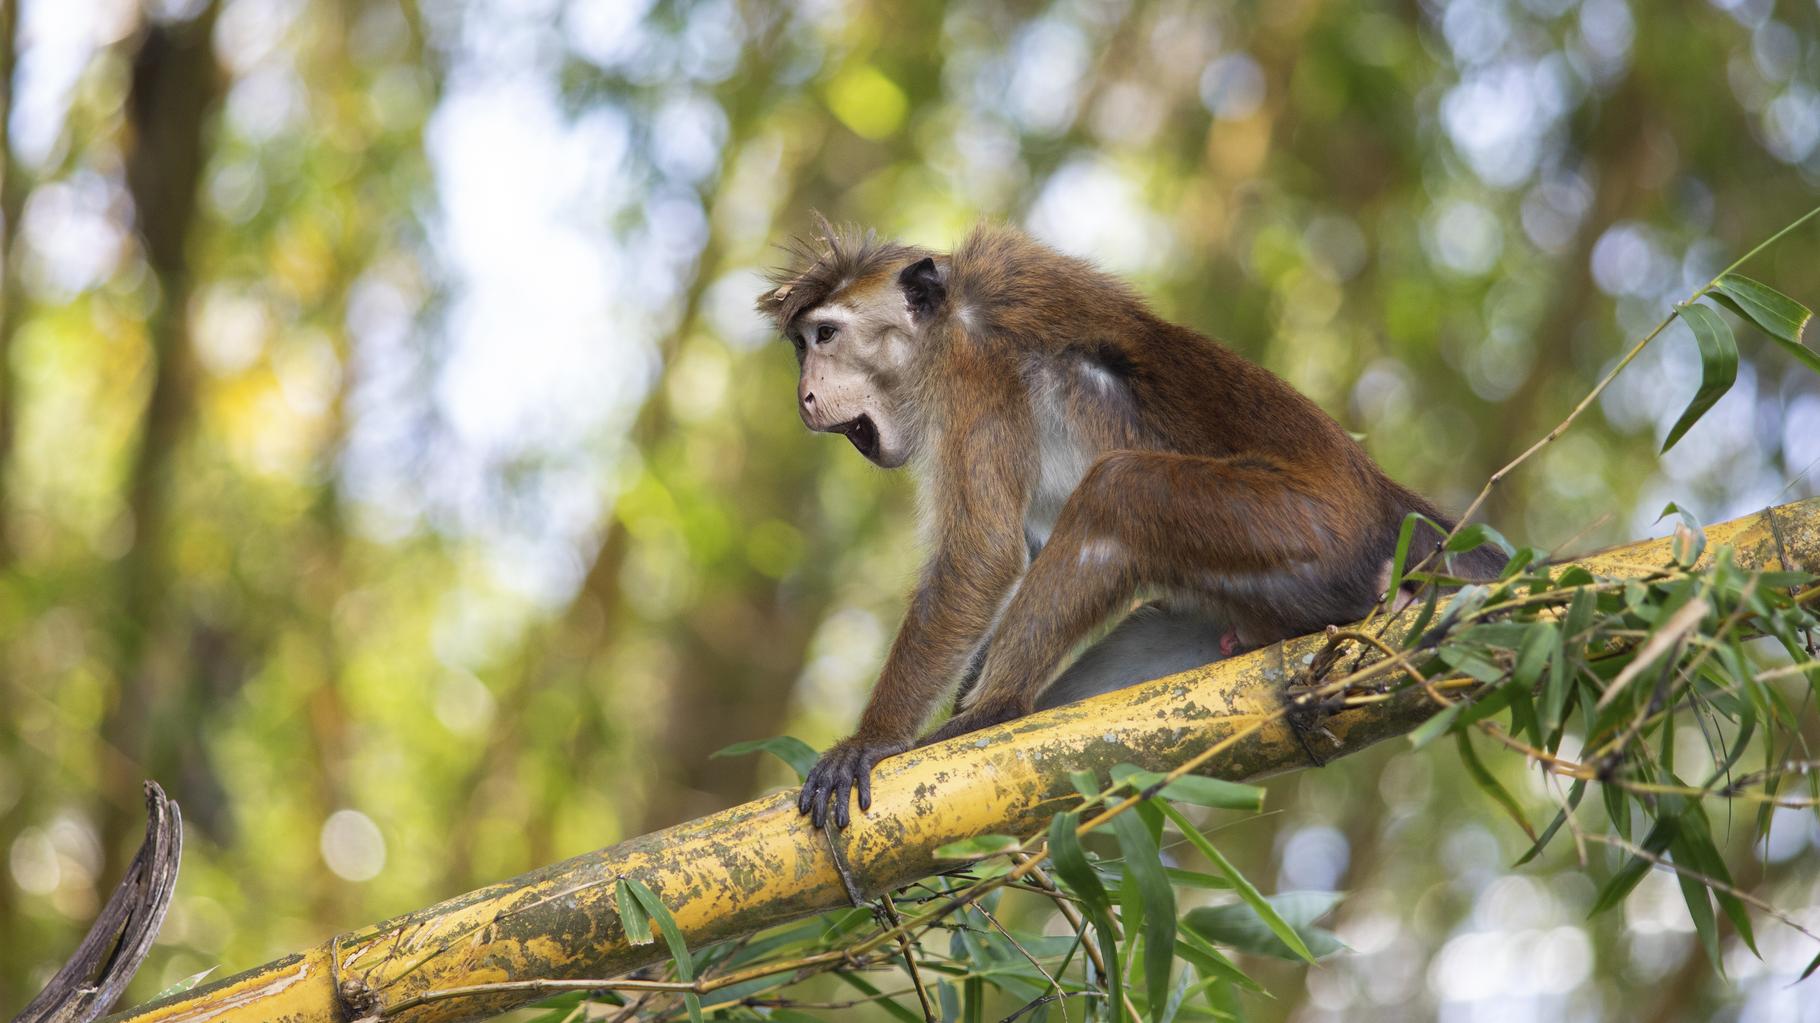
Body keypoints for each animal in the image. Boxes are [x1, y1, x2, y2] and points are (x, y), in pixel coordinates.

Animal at [757, 219, 1506, 822]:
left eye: (826, 335)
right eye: (801, 346)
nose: (803, 397)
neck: (943, 323)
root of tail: (1382, 501)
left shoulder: (971, 372)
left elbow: (984, 555)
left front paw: (872, 740)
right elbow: (1018, 550)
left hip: (1307, 532)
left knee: (1117, 492)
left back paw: (999, 710)